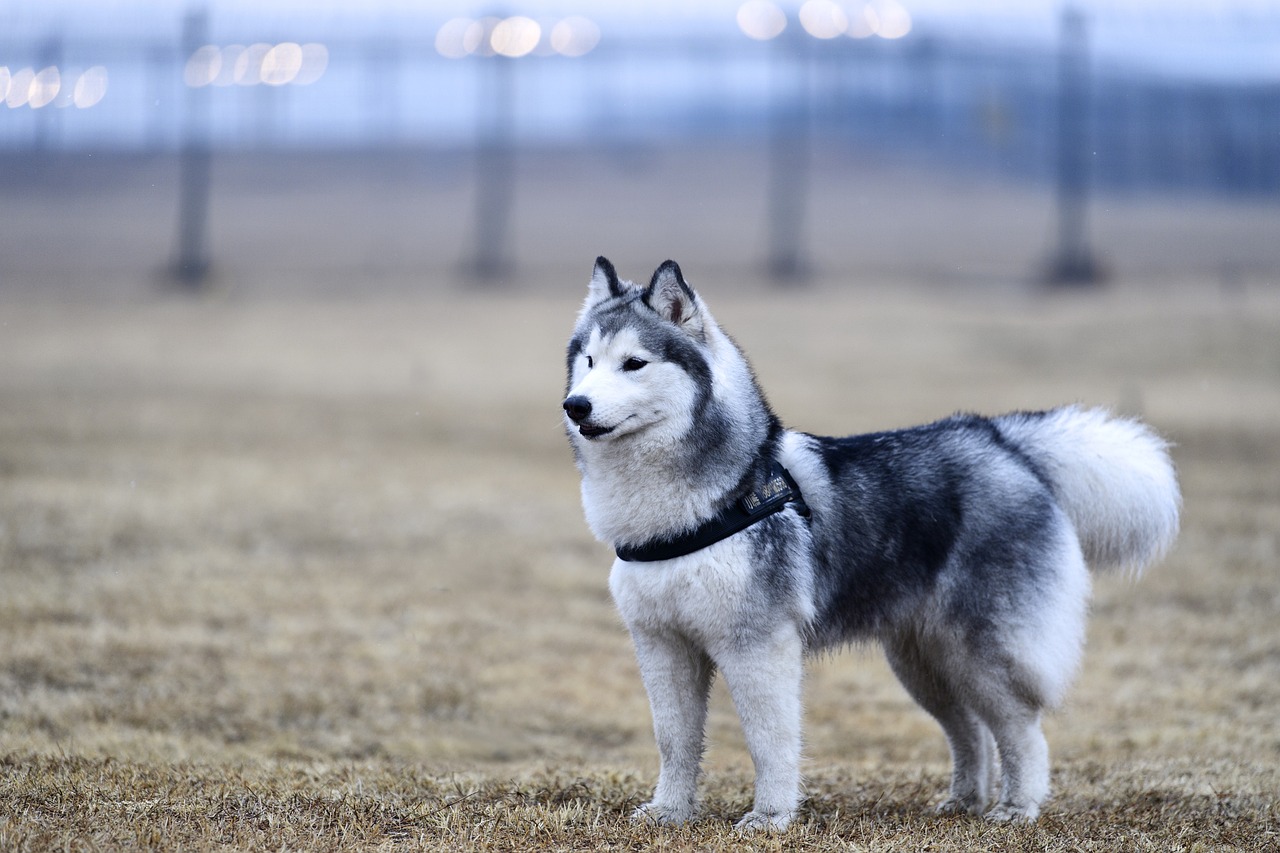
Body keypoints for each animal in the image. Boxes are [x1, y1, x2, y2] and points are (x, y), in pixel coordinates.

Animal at [560, 256, 1177, 824]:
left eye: (634, 363)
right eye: (588, 361)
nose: (575, 405)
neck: (699, 506)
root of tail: (1003, 443)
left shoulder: (756, 645)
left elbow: (768, 741)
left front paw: (770, 818)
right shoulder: (662, 645)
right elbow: (674, 740)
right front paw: (669, 812)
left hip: (982, 652)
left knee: (1021, 729)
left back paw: (1016, 808)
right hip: (923, 663)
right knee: (971, 731)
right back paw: (962, 801)